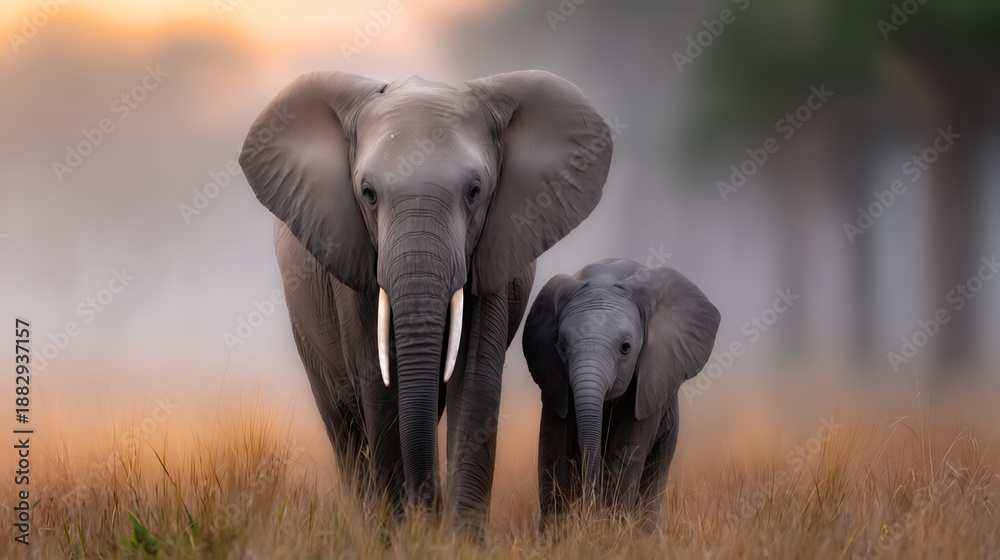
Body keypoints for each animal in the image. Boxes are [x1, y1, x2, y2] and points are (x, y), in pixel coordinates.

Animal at [238, 70, 613, 532]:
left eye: (474, 191)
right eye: (367, 193)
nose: (426, 511)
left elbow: (475, 386)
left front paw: (455, 539)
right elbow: (379, 390)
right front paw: (400, 534)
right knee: (343, 424)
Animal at [522, 258, 720, 530]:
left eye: (626, 348)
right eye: (561, 346)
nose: (589, 506)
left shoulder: (652, 381)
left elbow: (626, 453)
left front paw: (611, 532)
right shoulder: (553, 380)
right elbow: (554, 450)